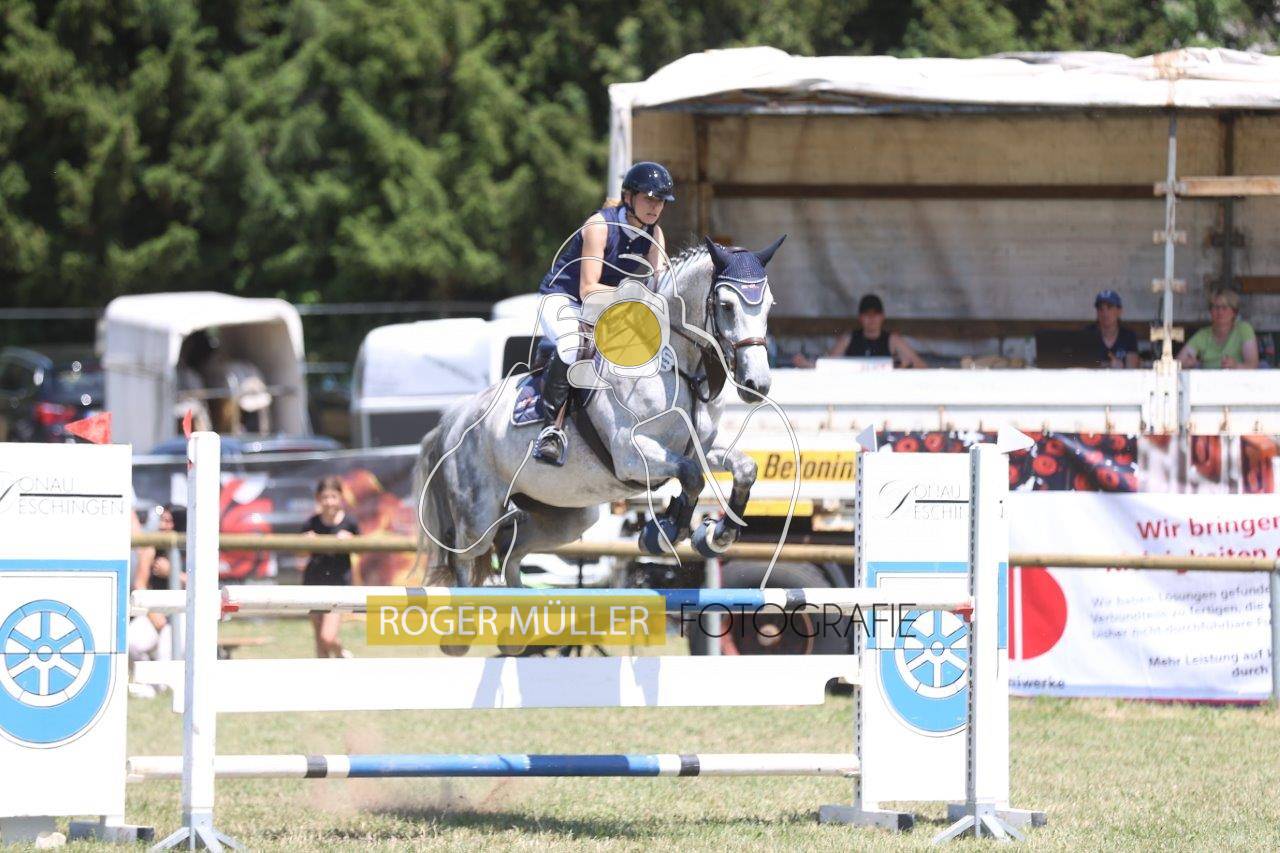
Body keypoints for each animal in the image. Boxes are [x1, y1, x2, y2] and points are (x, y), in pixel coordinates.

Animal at [414, 235, 786, 588]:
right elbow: (691, 475)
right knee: (467, 562)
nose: (757, 383)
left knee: (510, 551)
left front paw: (716, 535)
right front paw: (664, 533)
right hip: (477, 518)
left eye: (769, 305)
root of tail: (457, 417)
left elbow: (743, 468)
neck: (677, 369)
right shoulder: (631, 455)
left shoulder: (699, 447)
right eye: (726, 306)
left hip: (565, 513)